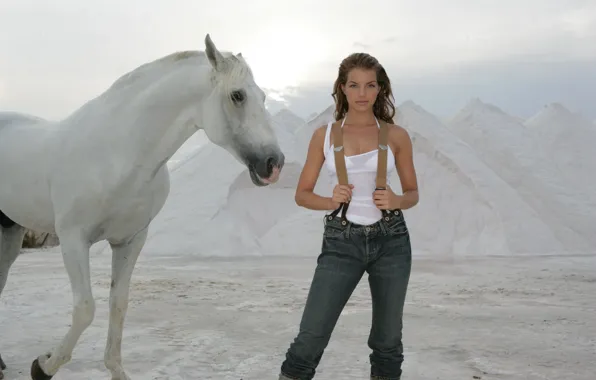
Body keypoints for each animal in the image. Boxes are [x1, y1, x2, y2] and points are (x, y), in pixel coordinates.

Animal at [0, 34, 284, 378]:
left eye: (263, 97)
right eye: (237, 95)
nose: (274, 163)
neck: (120, 154)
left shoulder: (130, 240)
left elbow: (118, 304)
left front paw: (114, 369)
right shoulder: (72, 239)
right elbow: (85, 309)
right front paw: (43, 366)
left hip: (10, 231)